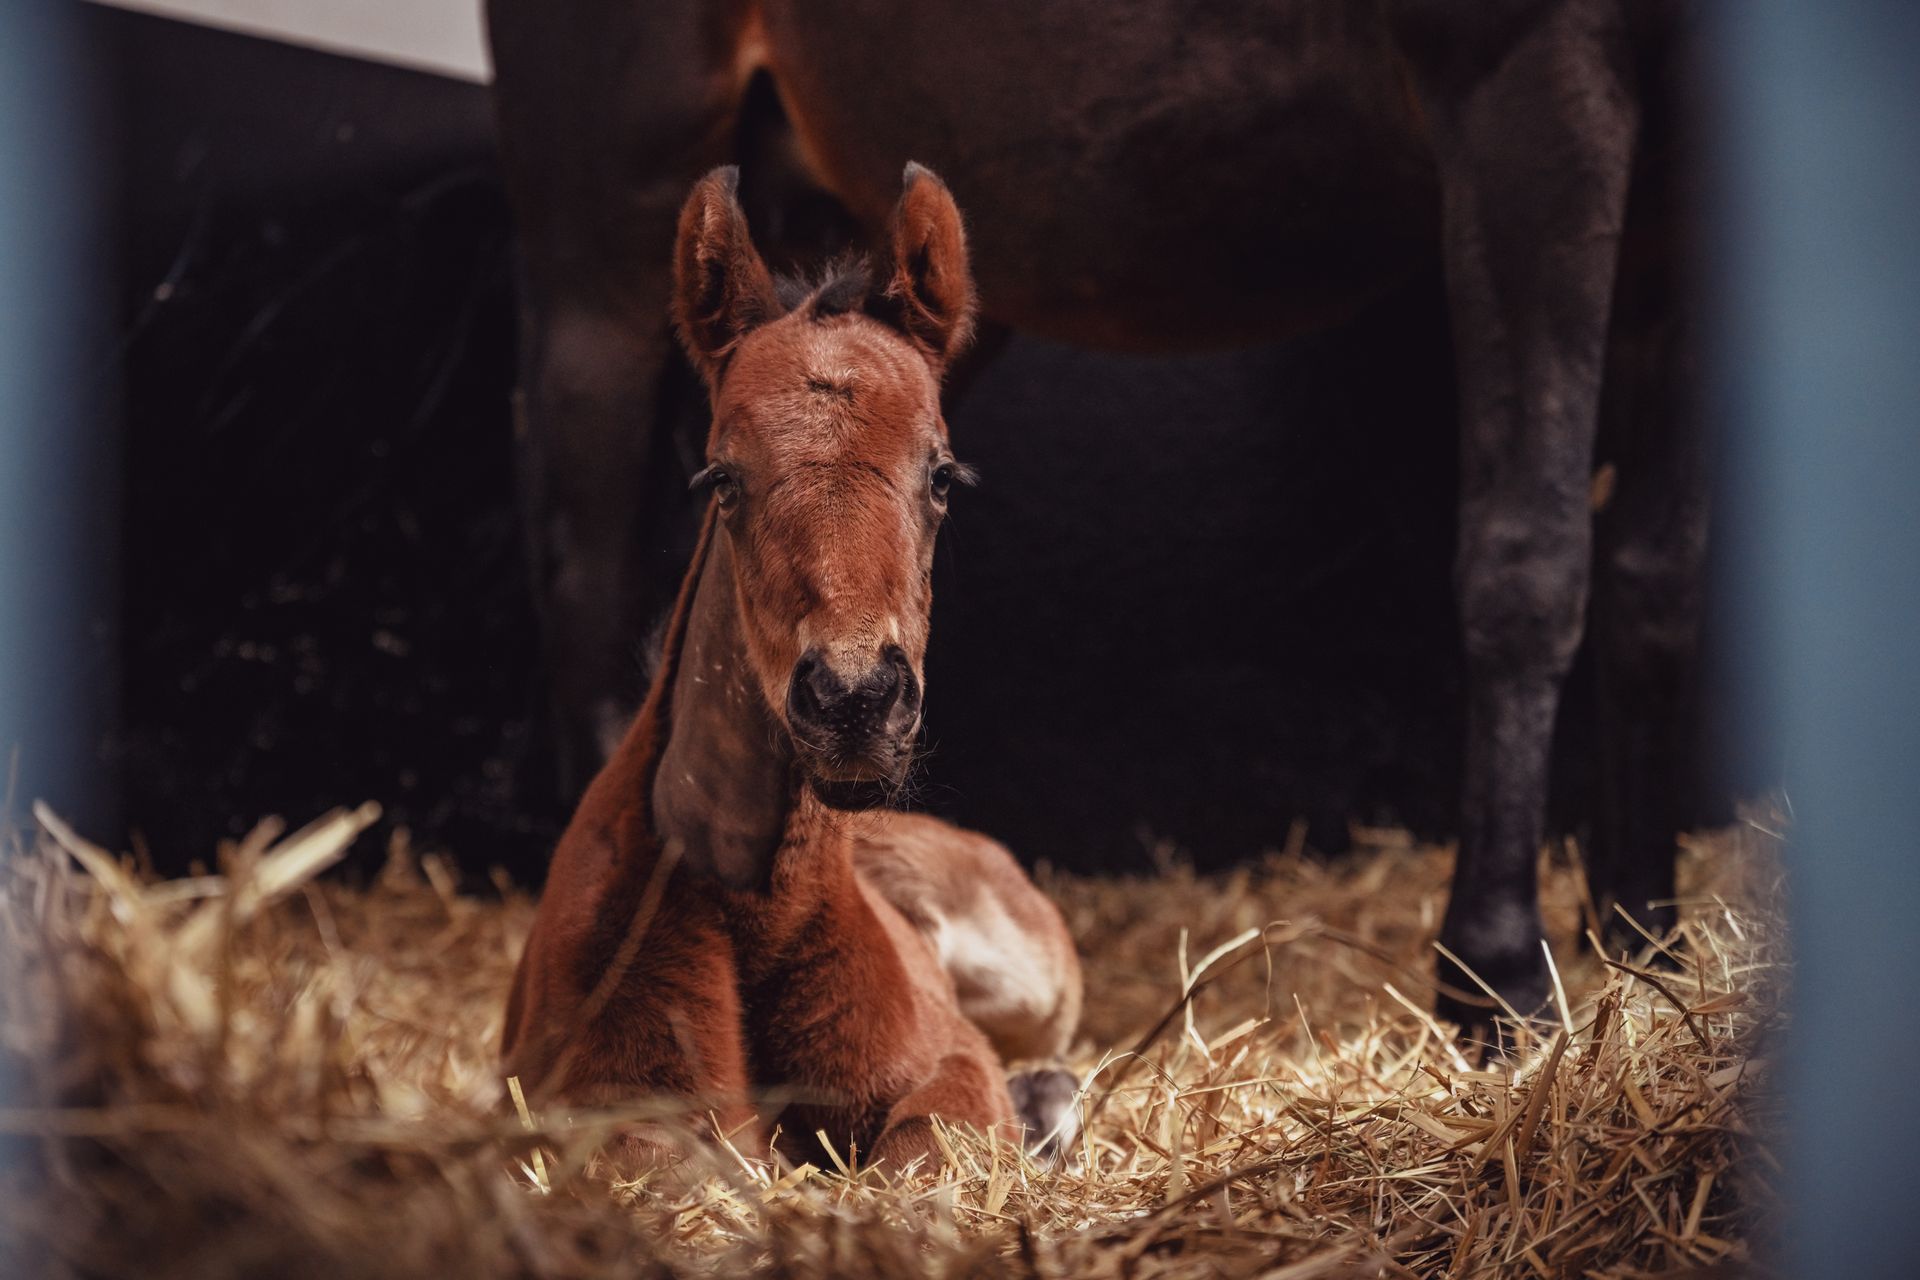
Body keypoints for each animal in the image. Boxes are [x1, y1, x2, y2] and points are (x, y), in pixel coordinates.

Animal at [486, 0, 1705, 1030]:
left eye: (943, 477)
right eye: (726, 479)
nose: (855, 701)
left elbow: (1654, 581)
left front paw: (1647, 933)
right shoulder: (1529, 84)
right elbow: (1529, 567)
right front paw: (1497, 973)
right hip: (607, 242)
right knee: (581, 574)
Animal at [501, 165, 1083, 1170]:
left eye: (941, 475)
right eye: (722, 479)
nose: (855, 702)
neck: (756, 913)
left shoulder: (946, 1059)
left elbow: (929, 1146)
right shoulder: (608, 1108)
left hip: (1035, 974)